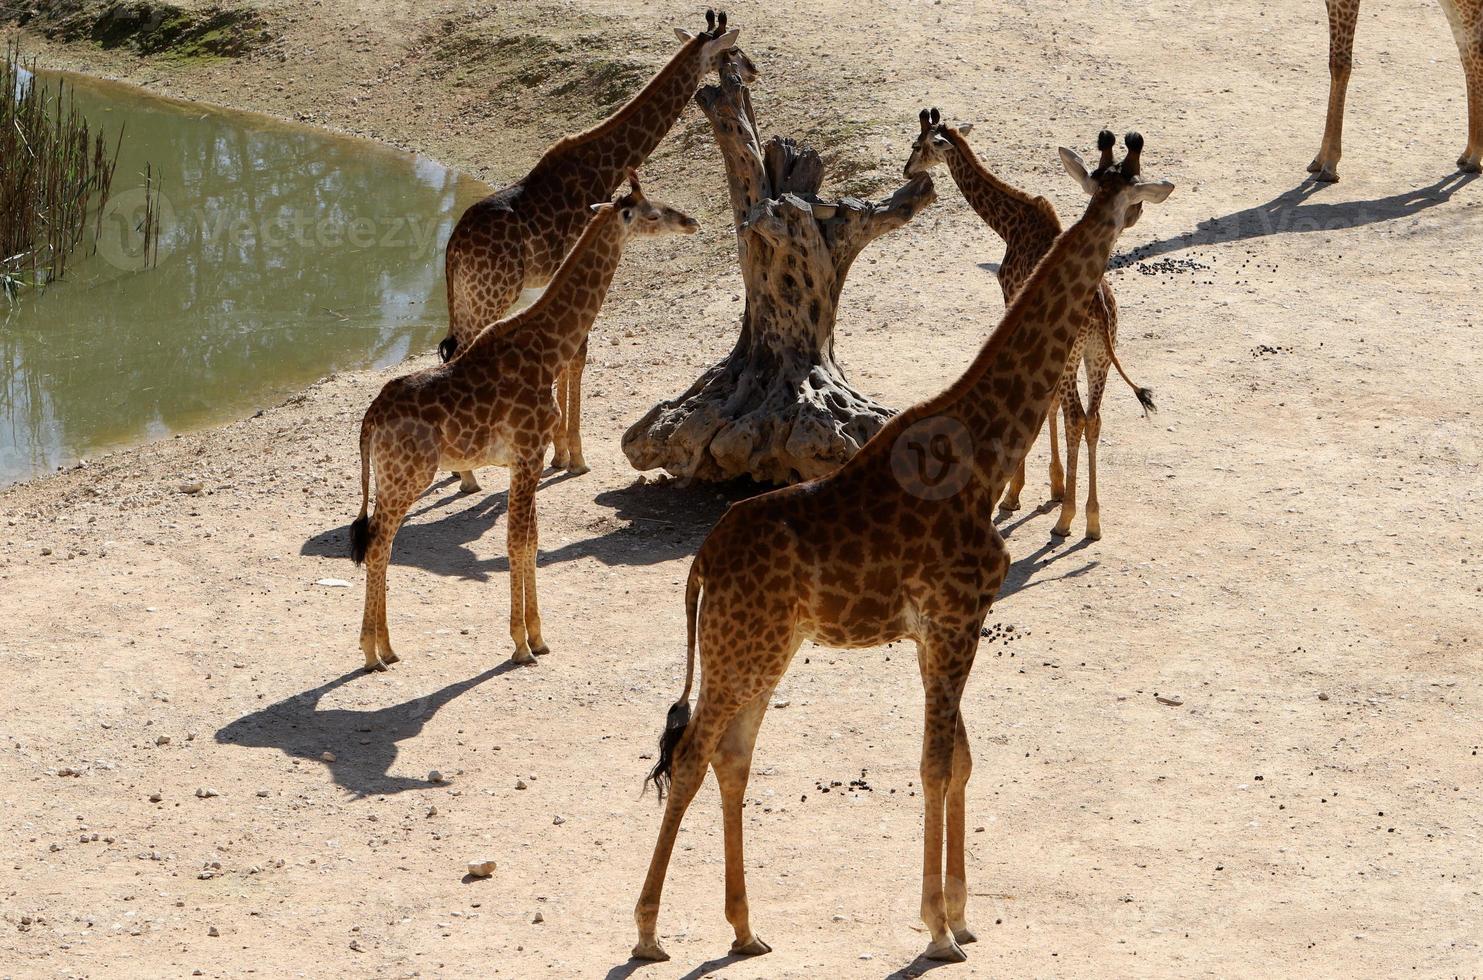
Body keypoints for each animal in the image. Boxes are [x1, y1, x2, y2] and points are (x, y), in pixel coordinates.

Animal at [349, 175, 697, 670]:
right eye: (653, 212)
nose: (690, 221)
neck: (548, 346)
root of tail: (369, 421)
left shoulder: (522, 459)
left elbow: (531, 540)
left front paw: (538, 636)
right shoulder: (529, 450)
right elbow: (517, 542)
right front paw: (520, 644)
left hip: (388, 476)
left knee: (382, 543)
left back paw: (387, 648)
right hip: (407, 475)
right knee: (379, 544)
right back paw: (372, 653)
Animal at [433, 9, 747, 489]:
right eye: (732, 51)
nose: (753, 70)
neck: (604, 163)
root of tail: (452, 248)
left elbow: (570, 356)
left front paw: (560, 452)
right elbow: (577, 354)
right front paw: (572, 456)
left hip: (470, 296)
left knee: (452, 348)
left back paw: (458, 470)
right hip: (494, 292)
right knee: (462, 353)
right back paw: (468, 476)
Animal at [901, 109, 1156, 539]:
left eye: (918, 145)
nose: (905, 170)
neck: (1010, 224)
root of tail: (1102, 309)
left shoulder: (1010, 300)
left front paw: (1015, 493)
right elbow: (1046, 403)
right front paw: (1053, 485)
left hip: (1076, 354)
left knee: (1076, 416)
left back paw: (1066, 520)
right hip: (1100, 354)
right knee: (1093, 418)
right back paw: (1092, 520)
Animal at [1310, 0, 1483, 179]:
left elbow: (1340, 64)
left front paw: (1330, 164)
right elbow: (1333, 63)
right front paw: (1320, 158)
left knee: (1476, 56)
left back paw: (1475, 157)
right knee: (1467, 60)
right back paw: (1468, 155)